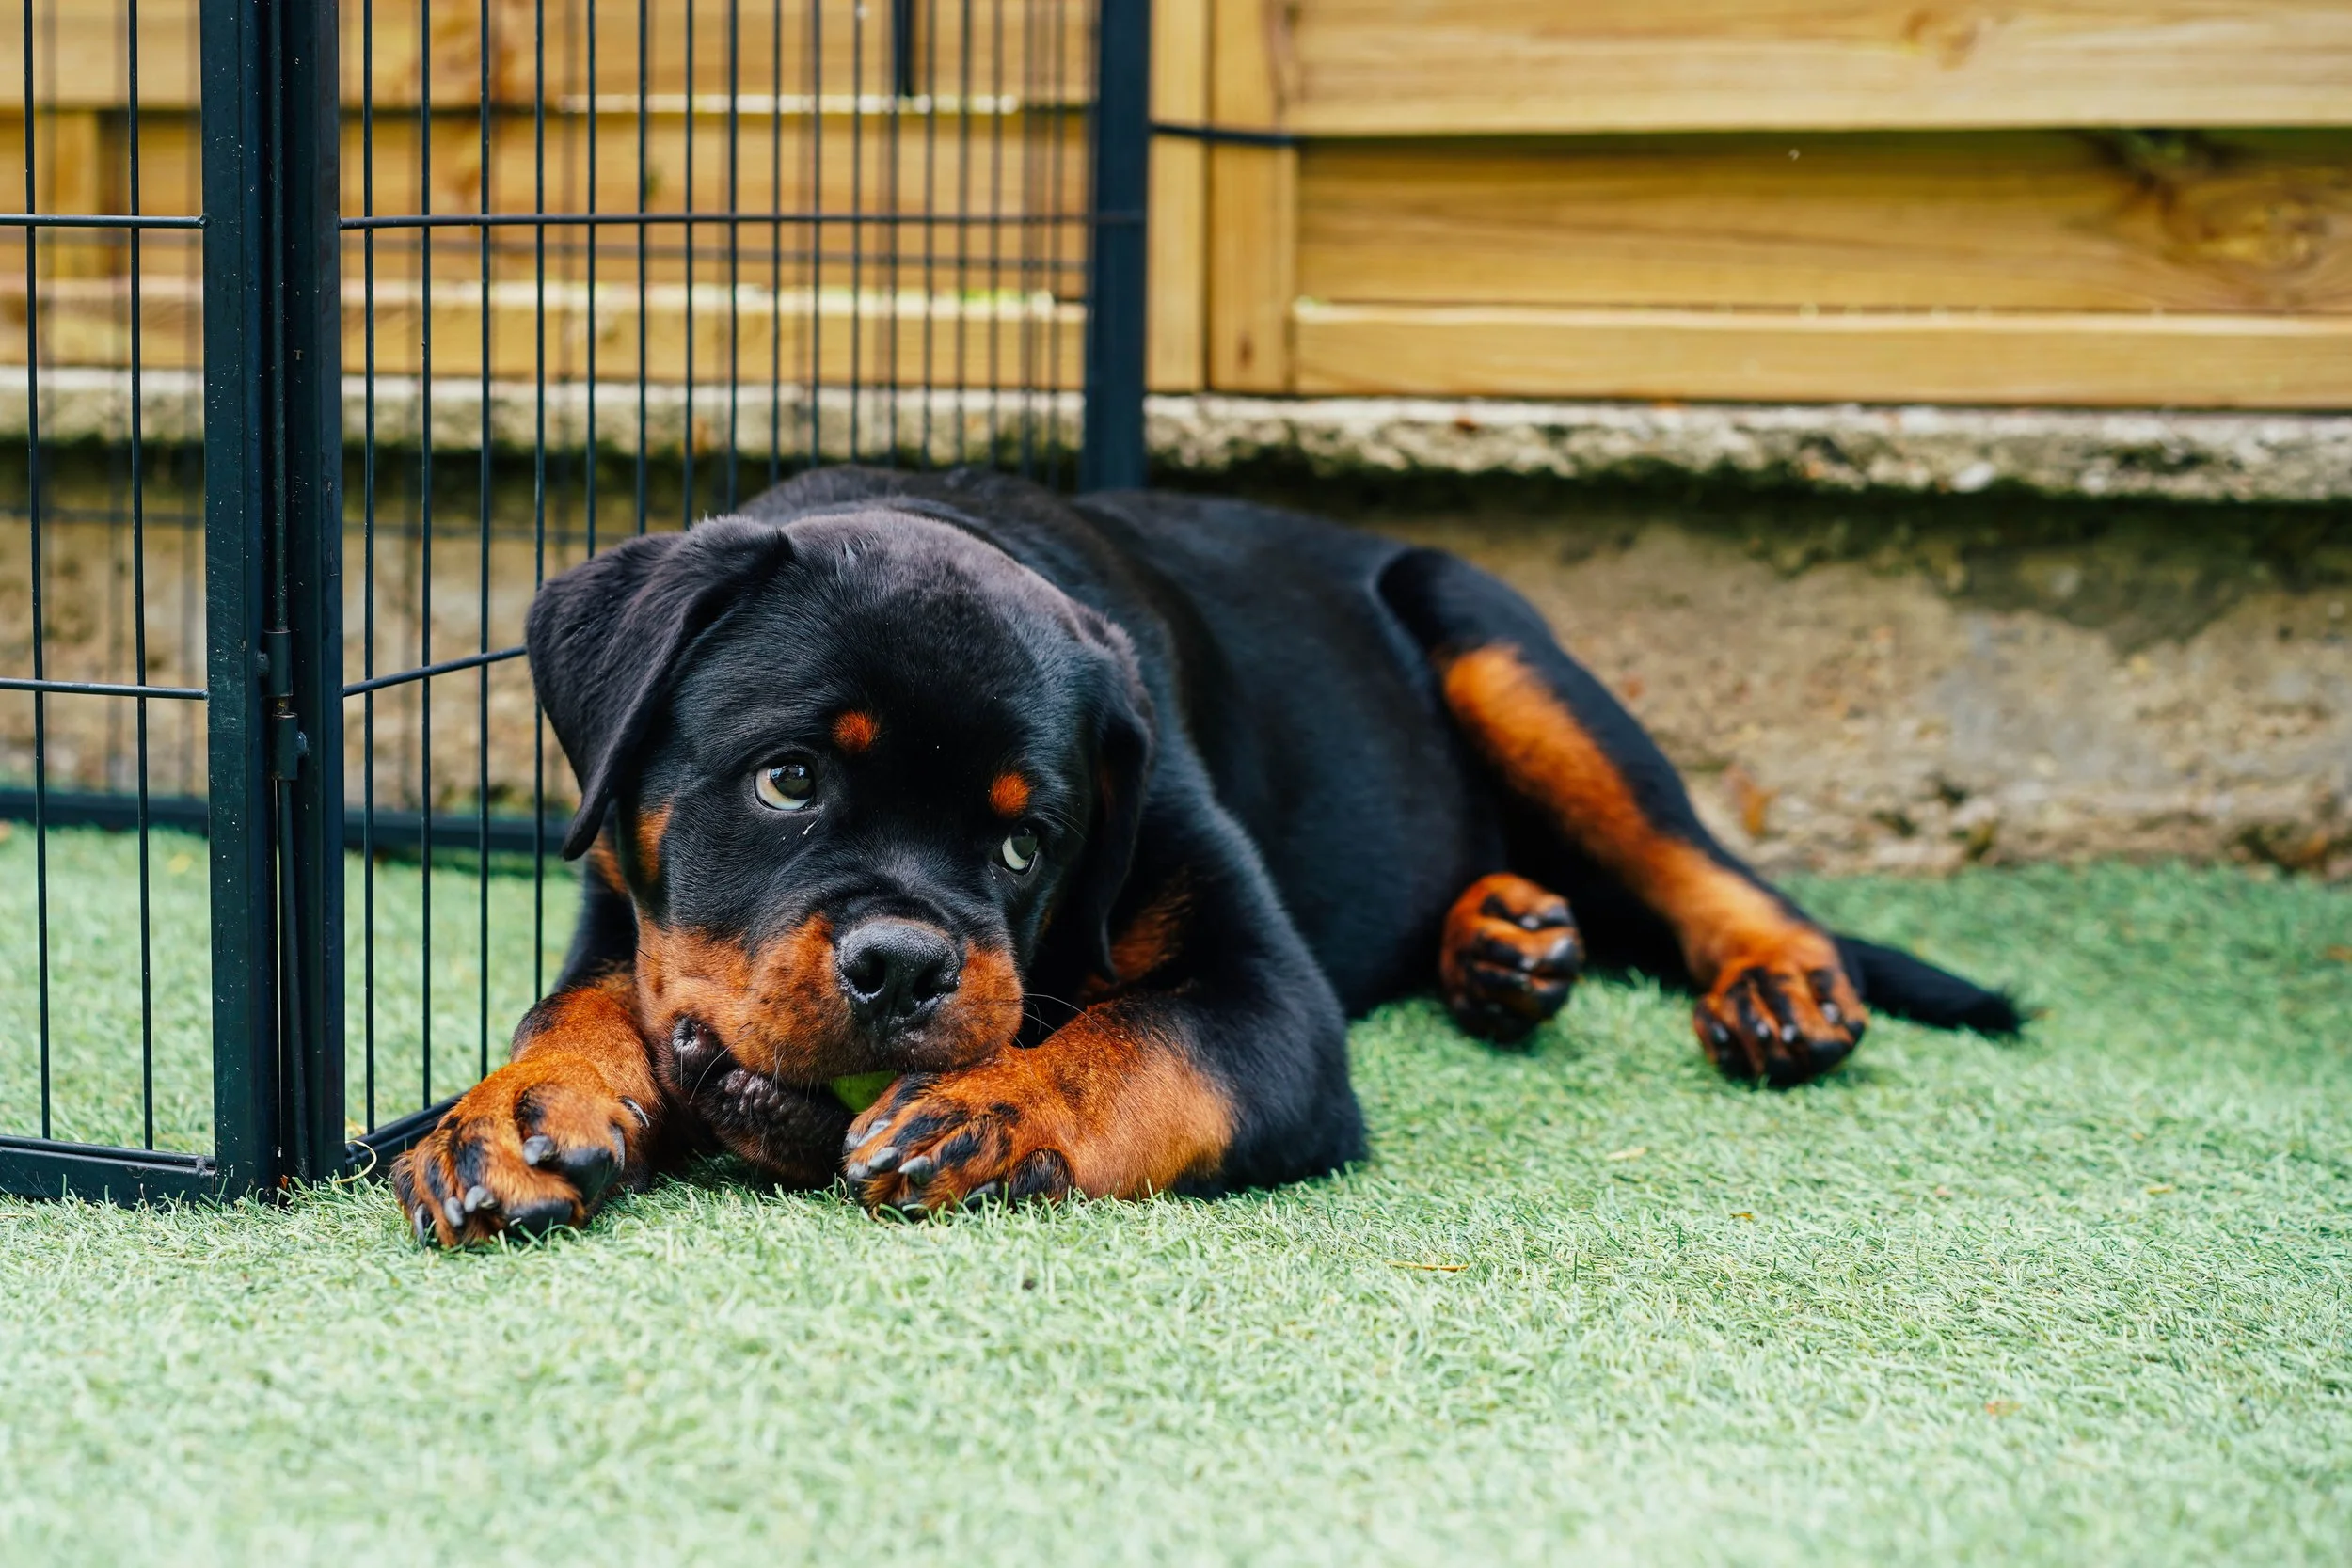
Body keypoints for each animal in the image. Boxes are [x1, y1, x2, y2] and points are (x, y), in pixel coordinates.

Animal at [392, 466, 2019, 1244]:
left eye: (1029, 839)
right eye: (787, 778)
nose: (906, 966)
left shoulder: (1269, 1001)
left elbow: (1140, 1042)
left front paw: (991, 1110)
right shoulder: (622, 896)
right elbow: (578, 998)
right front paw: (518, 1107)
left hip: (1498, 641)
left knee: (1695, 856)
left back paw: (1777, 983)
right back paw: (1507, 940)